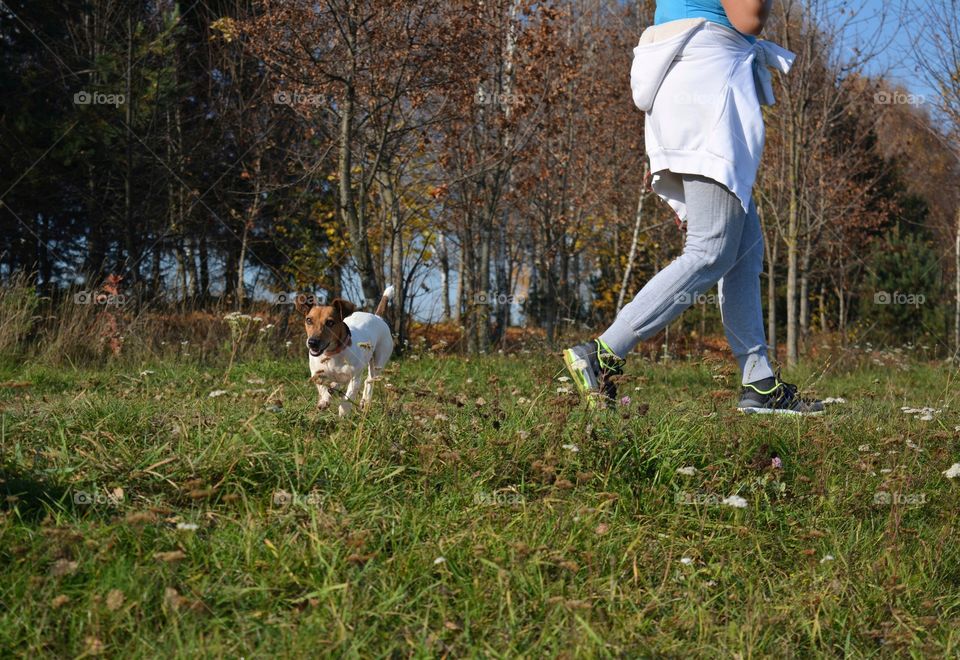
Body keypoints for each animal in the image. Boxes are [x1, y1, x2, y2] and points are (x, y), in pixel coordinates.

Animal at [296, 284, 394, 418]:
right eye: (309, 320)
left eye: (330, 322)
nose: (312, 343)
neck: (332, 354)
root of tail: (378, 317)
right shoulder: (316, 374)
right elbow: (322, 386)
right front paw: (324, 400)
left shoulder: (354, 378)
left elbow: (349, 396)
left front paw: (344, 411)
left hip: (378, 362)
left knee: (369, 381)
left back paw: (365, 402)